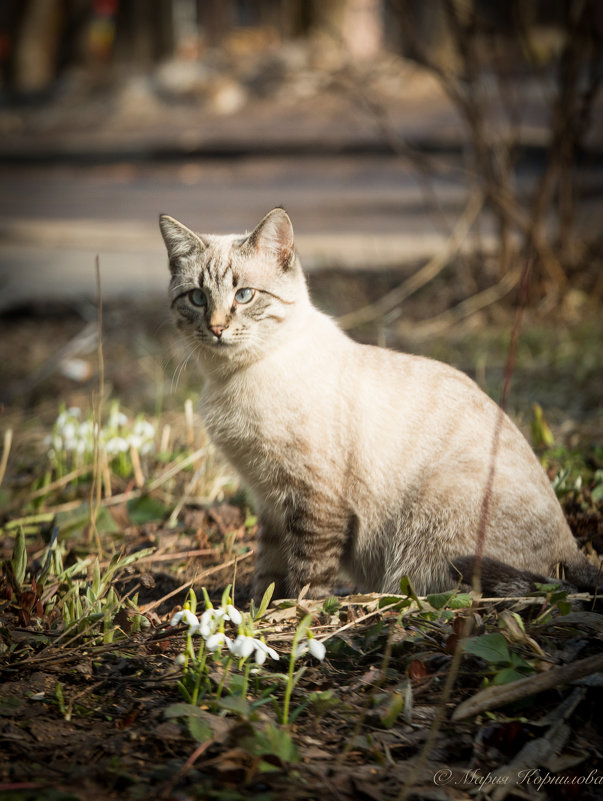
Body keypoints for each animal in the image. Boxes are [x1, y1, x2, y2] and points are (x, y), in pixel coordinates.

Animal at [158, 206, 600, 600]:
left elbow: (308, 572)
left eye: (245, 295)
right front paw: (257, 610)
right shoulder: (268, 499)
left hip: (432, 518)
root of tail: (576, 552)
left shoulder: (313, 498)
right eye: (197, 298)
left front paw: (296, 613)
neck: (233, 378)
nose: (216, 328)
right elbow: (268, 568)